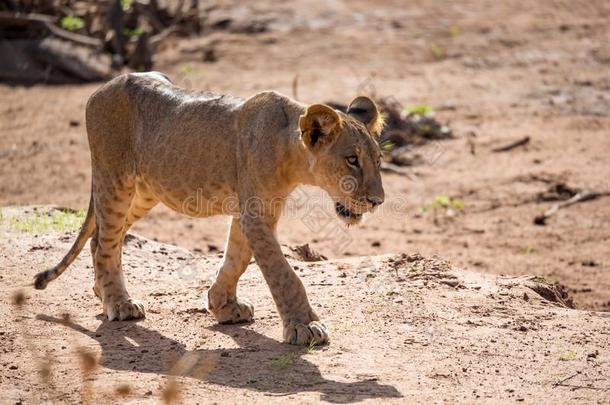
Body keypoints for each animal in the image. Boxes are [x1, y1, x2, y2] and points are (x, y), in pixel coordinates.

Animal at [33, 72, 382, 344]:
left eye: (378, 160)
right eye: (352, 160)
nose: (378, 201)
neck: (290, 152)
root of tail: (107, 85)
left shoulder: (254, 211)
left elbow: (236, 258)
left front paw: (224, 306)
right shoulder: (256, 214)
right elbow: (283, 274)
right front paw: (304, 326)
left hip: (146, 191)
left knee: (103, 237)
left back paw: (102, 293)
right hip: (114, 178)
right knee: (106, 242)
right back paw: (119, 304)